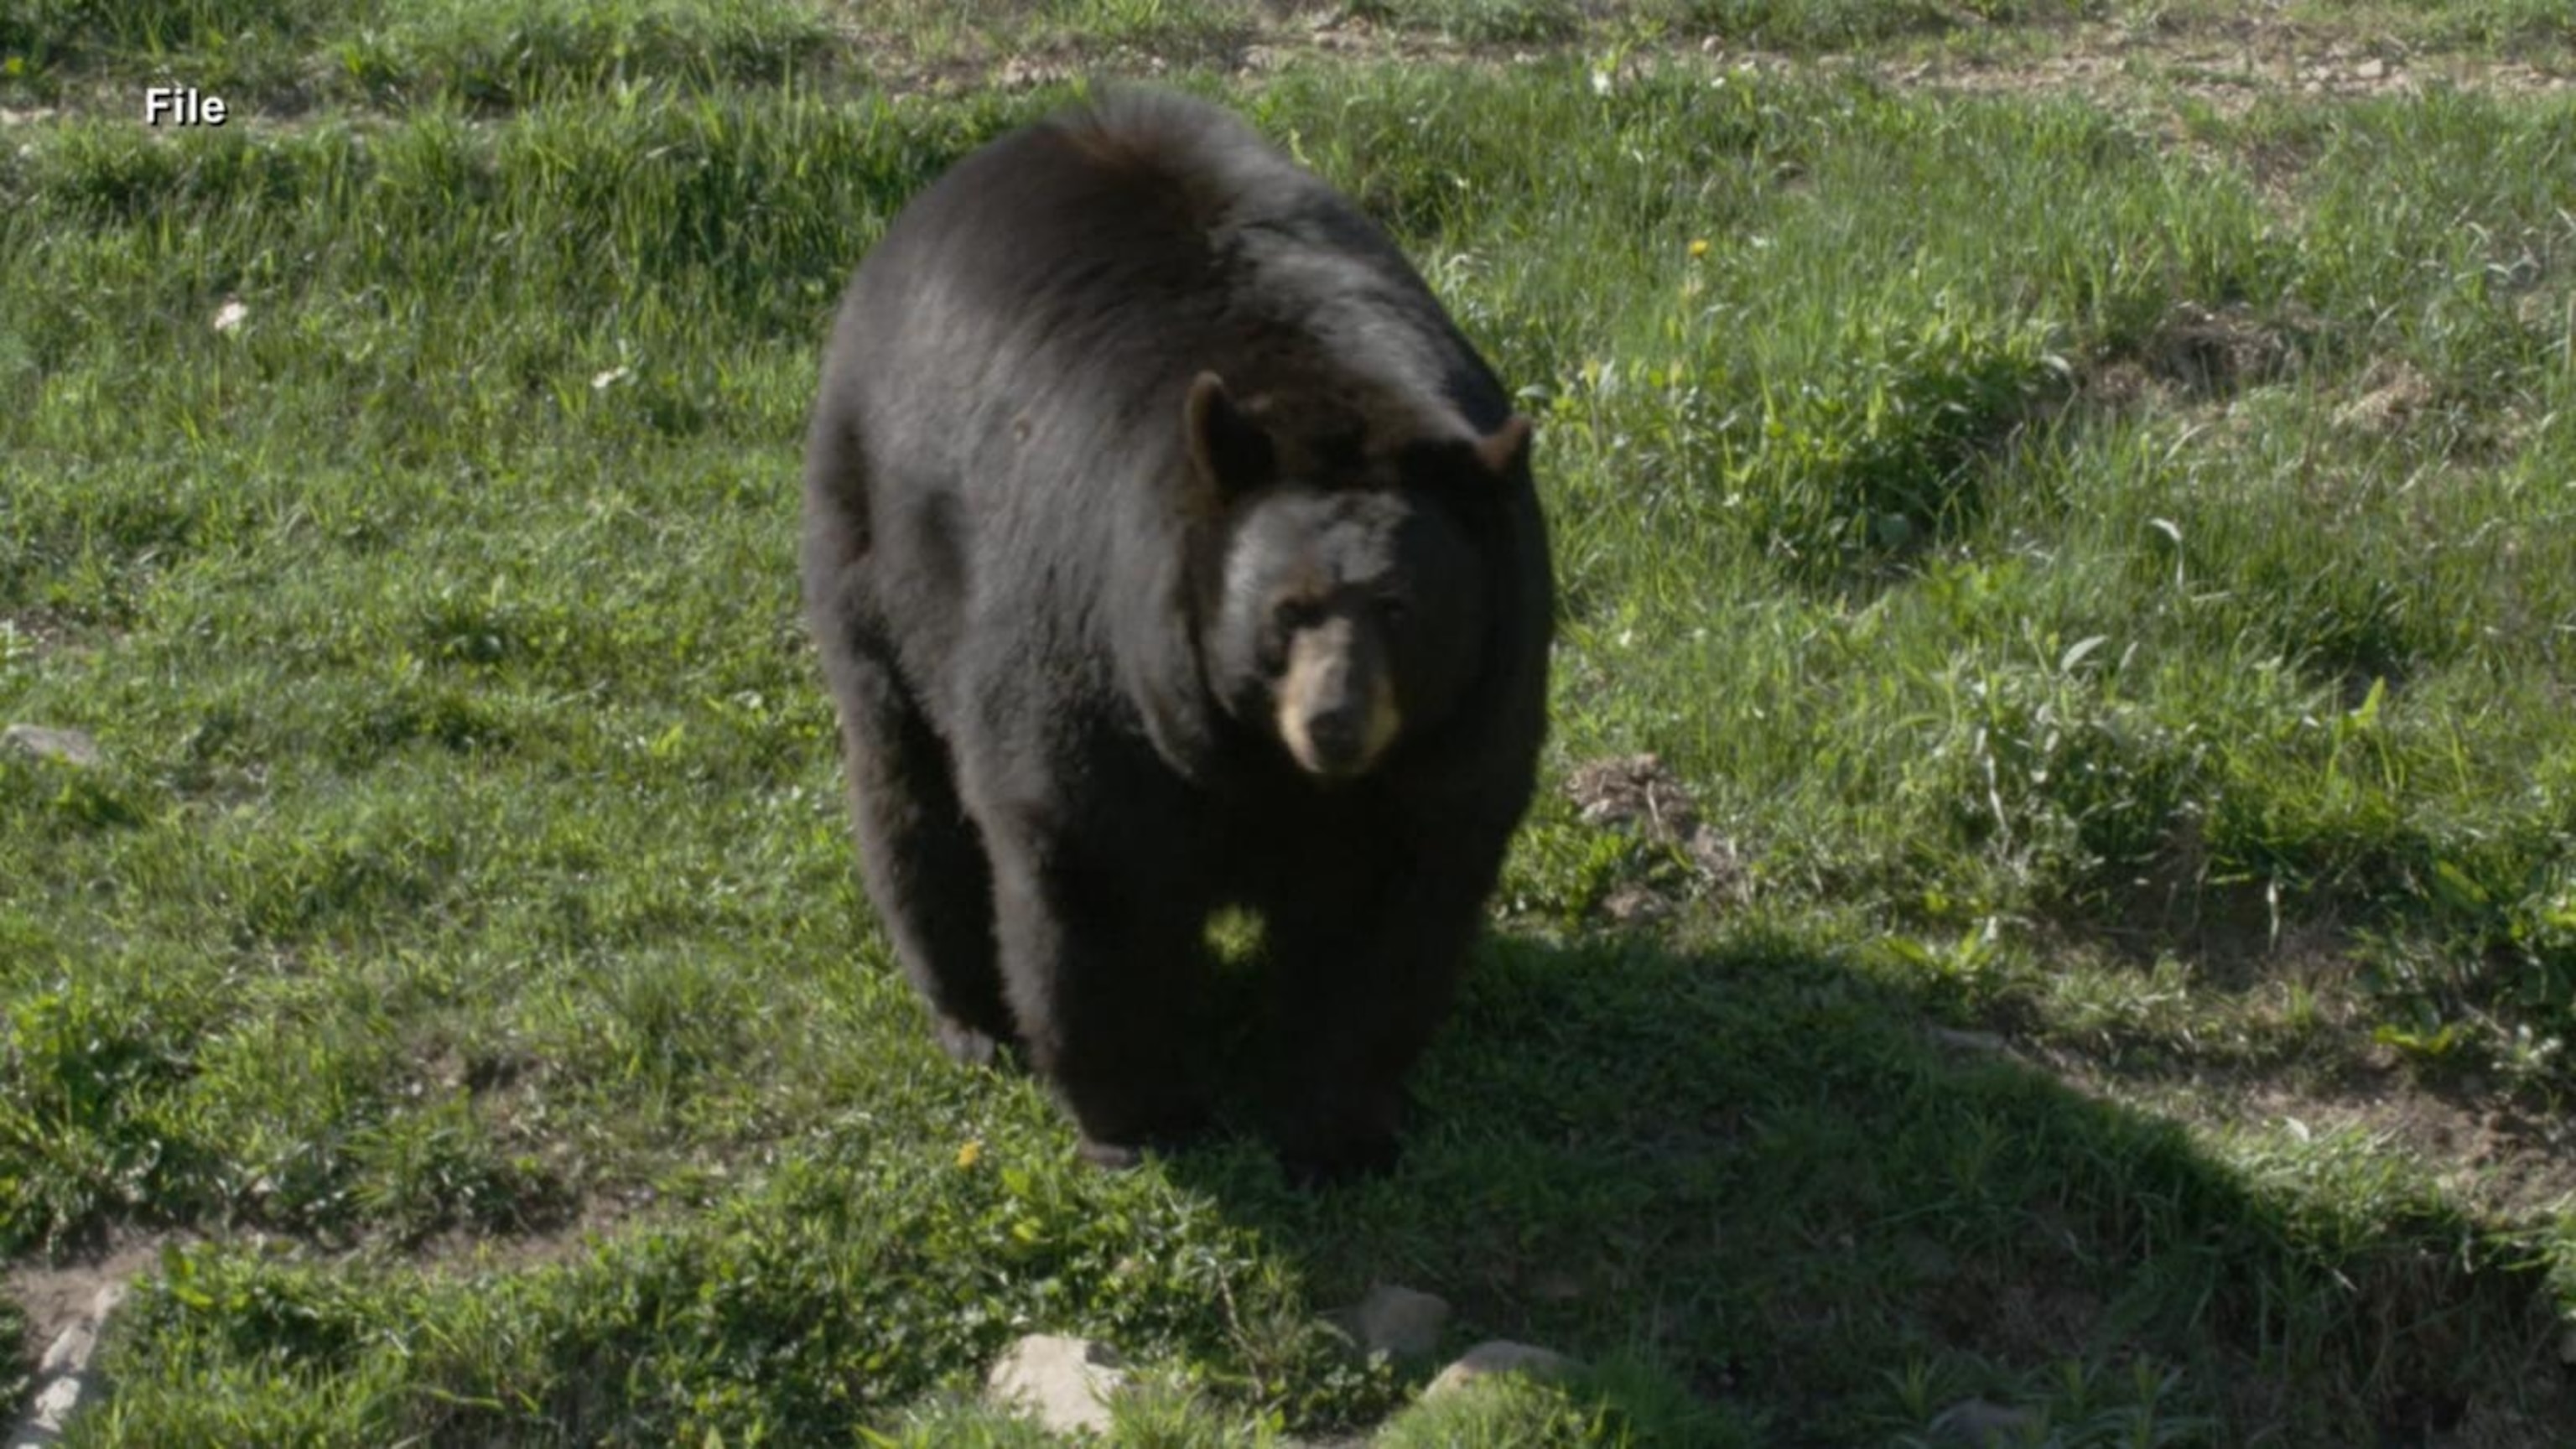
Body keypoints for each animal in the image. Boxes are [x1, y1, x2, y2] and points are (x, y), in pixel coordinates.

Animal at [800, 90, 1553, 1185]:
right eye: (1287, 610)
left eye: (1403, 610)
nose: (1335, 723)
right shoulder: (1097, 653)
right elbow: (1094, 867)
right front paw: (1141, 1119)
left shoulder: (1464, 723)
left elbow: (1390, 914)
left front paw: (1340, 1128)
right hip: (875, 547)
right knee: (907, 783)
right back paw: (971, 1017)